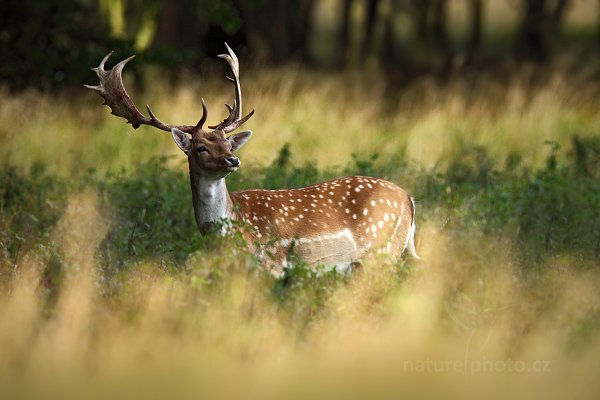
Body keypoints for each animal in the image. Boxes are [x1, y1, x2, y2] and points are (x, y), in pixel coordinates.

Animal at [86, 43, 420, 276]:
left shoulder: (270, 264)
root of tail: (409, 199)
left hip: (381, 251)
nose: (232, 160)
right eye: (200, 148)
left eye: (226, 142)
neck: (228, 230)